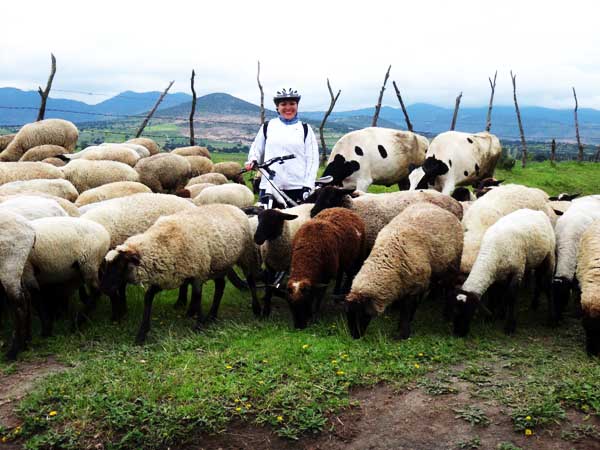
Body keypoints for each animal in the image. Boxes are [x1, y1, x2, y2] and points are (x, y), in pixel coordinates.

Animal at [100, 206, 260, 342]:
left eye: (120, 265)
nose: (103, 288)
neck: (163, 243)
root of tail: (235, 207)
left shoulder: (198, 274)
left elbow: (197, 297)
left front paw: (198, 325)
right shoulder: (165, 277)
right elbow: (148, 299)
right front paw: (141, 334)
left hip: (246, 255)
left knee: (251, 281)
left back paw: (256, 308)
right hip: (220, 264)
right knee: (220, 287)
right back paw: (212, 316)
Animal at [342, 202, 464, 340]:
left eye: (361, 313)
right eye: (348, 316)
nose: (355, 337)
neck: (389, 257)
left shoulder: (415, 285)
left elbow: (406, 310)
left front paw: (402, 333)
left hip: (453, 265)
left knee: (449, 288)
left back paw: (447, 315)